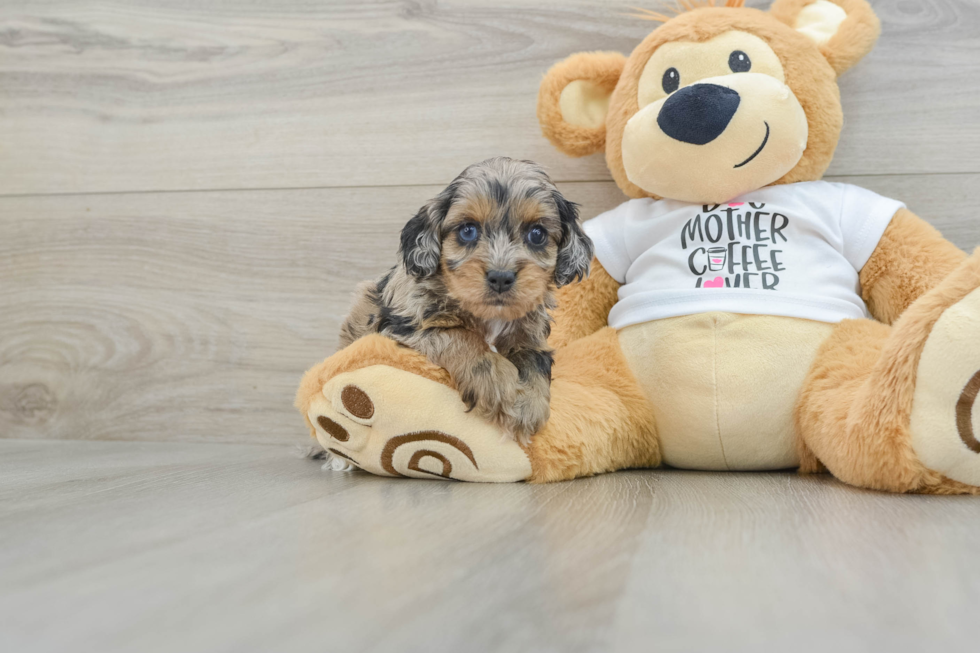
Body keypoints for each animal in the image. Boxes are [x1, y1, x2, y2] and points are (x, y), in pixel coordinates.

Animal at [340, 157, 592, 444]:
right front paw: (497, 382)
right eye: (468, 231)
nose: (501, 277)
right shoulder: (403, 324)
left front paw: (528, 405)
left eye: (537, 234)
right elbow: (461, 336)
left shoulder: (530, 336)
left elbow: (534, 361)